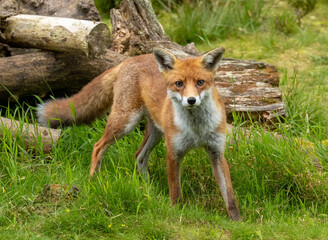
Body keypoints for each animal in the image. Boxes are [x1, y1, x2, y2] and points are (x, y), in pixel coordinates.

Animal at [37, 47, 241, 221]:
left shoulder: (216, 152)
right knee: (98, 146)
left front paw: (236, 221)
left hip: (155, 133)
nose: (191, 100)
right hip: (125, 123)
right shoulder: (173, 152)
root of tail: (129, 60)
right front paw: (178, 214)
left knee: (139, 156)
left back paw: (149, 189)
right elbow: (175, 191)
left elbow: (229, 193)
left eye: (200, 82)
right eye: (179, 84)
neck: (197, 128)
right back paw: (94, 180)